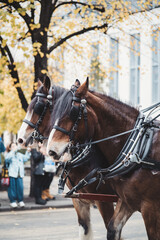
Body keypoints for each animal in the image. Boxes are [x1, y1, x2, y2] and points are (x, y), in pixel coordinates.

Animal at [47, 78, 160, 239]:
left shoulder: (150, 207)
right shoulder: (126, 201)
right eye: (54, 111)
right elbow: (111, 229)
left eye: (73, 112)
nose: (51, 150)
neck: (139, 148)